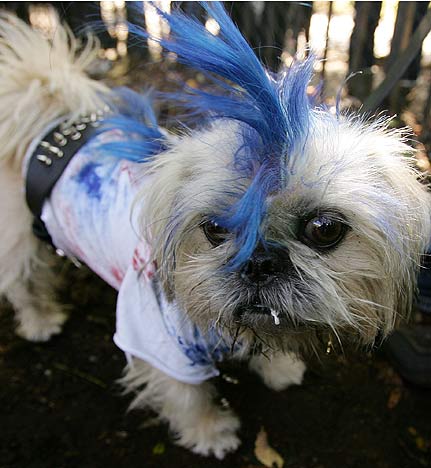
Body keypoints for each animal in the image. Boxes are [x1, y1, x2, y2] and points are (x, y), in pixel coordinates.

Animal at [0, 1, 431, 458]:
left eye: (324, 228)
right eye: (215, 229)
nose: (260, 261)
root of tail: (45, 129)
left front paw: (279, 367)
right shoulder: (159, 346)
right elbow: (187, 396)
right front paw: (210, 432)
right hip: (20, 243)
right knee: (22, 282)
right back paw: (41, 321)